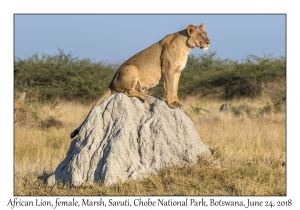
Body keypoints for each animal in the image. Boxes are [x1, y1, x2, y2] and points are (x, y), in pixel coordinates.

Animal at [71, 23, 211, 139]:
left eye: (205, 34)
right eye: (199, 34)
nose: (209, 42)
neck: (186, 46)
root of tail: (111, 82)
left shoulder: (177, 72)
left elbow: (174, 88)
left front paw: (177, 102)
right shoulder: (168, 70)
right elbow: (170, 88)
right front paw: (172, 104)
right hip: (131, 68)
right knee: (127, 91)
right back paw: (144, 96)